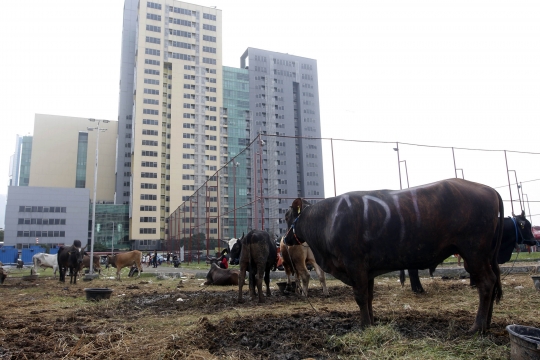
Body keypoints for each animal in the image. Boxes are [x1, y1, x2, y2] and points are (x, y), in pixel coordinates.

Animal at [284, 179, 504, 334]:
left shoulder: (355, 263)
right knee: (493, 281)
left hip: (474, 251)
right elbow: (369, 297)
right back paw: (487, 323)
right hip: (482, 255)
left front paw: (364, 326)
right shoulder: (367, 269)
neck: (328, 219)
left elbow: (360, 297)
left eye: (286, 217)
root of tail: (488, 189)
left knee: (486, 282)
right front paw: (371, 322)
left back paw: (477, 326)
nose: (285, 240)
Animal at [400, 211, 536, 292]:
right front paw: (475, 283)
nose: (534, 241)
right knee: (412, 271)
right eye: (527, 226)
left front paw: (473, 283)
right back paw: (419, 290)